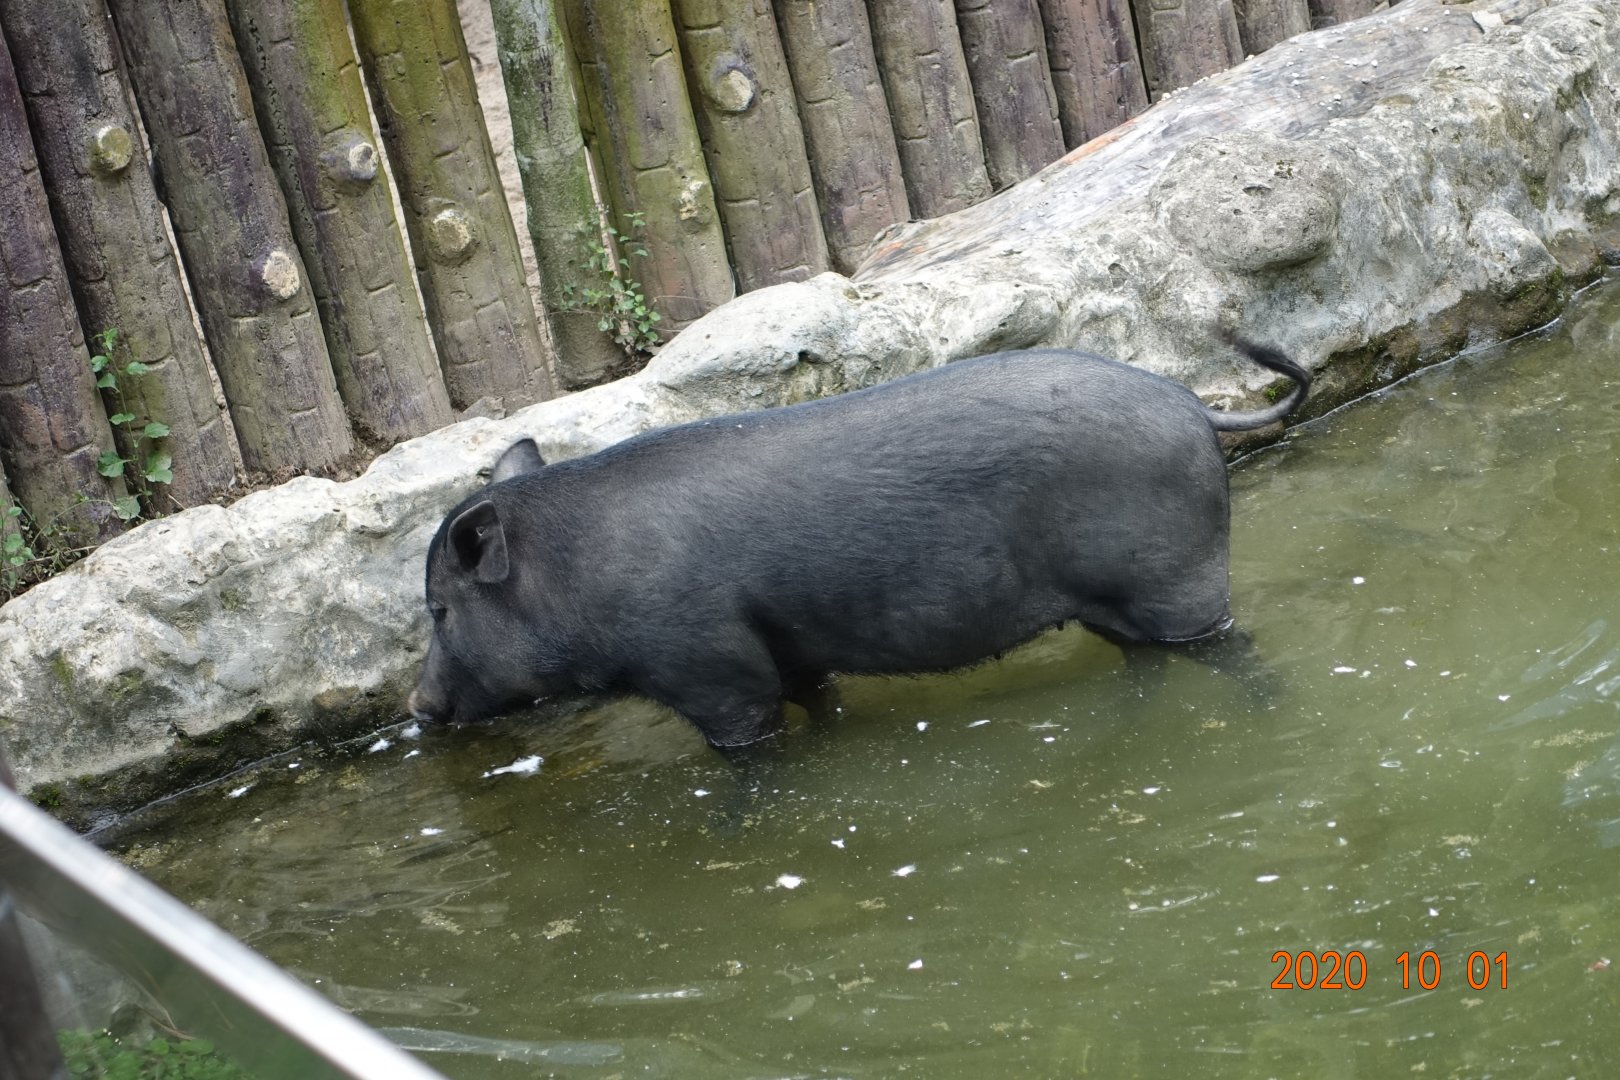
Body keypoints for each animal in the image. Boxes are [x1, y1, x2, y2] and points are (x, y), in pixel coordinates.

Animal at [408, 337, 1309, 747]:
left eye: (440, 610)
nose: (417, 705)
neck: (576, 575)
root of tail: (1197, 408)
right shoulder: (791, 654)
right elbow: (822, 700)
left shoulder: (711, 669)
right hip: (1113, 606)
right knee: (1141, 663)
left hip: (1180, 584)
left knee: (1231, 648)